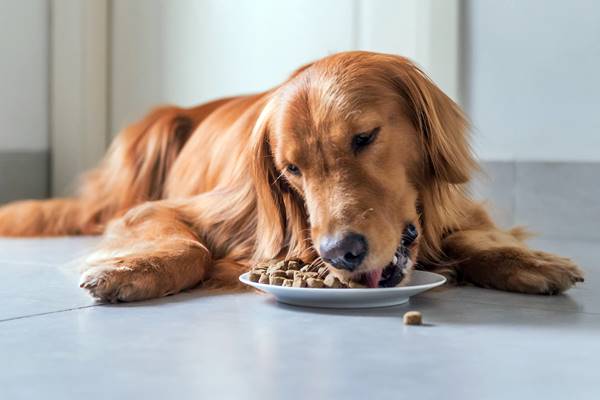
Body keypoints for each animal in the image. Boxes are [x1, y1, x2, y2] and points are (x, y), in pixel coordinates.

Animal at [0, 51, 584, 302]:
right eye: (291, 170)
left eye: (365, 137)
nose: (340, 253)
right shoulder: (167, 209)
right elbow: (187, 244)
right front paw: (133, 269)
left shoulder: (459, 209)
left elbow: (478, 236)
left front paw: (529, 262)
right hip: (150, 136)